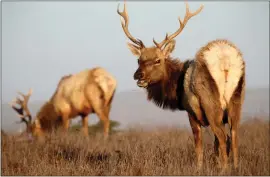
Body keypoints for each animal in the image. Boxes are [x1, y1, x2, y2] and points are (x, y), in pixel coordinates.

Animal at [117, 1, 246, 170]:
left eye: (158, 60)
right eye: (139, 60)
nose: (138, 75)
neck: (175, 93)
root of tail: (225, 59)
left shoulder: (191, 110)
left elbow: (199, 143)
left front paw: (199, 168)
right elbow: (215, 145)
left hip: (211, 104)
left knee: (223, 137)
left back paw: (224, 169)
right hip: (236, 98)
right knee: (235, 135)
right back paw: (236, 167)